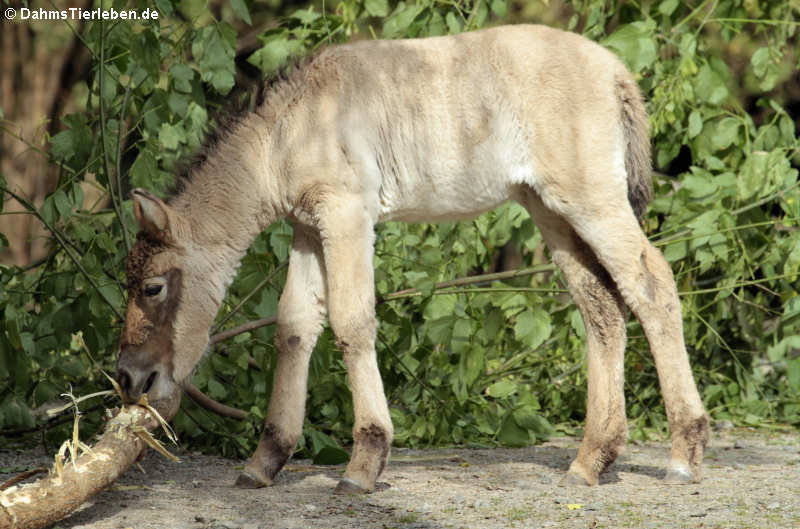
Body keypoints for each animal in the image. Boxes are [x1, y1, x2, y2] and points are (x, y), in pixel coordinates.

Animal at [117, 23, 708, 490]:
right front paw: (266, 461)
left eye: (152, 286)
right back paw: (592, 459)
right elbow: (294, 327)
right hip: (550, 210)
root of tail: (615, 71)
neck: (288, 131)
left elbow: (352, 321)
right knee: (601, 307)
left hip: (591, 200)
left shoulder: (347, 216)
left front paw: (365, 461)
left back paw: (684, 452)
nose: (128, 379)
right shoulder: (308, 227)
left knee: (652, 285)